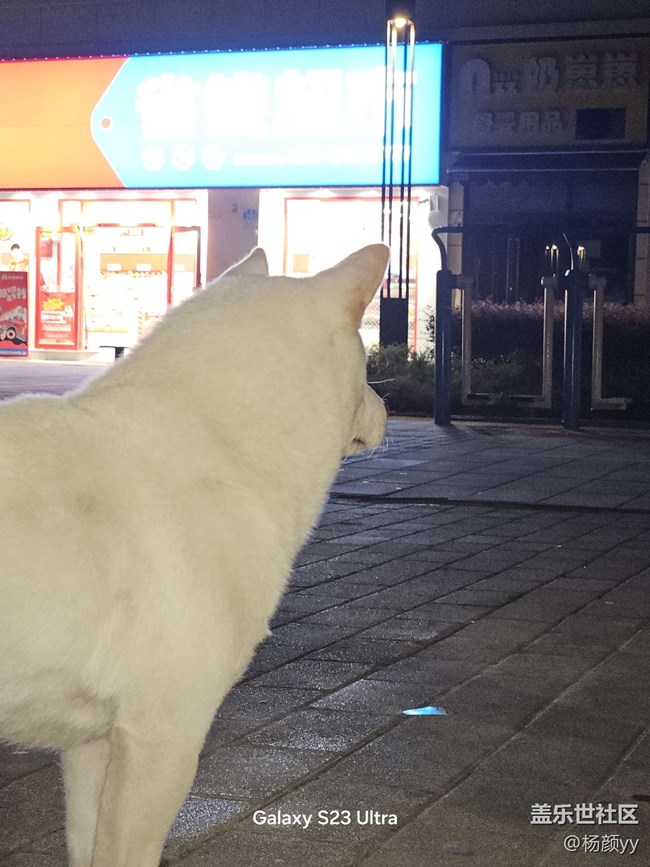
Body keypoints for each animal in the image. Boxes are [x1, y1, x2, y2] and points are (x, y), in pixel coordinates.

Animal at [0, 243, 389, 867]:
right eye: (368, 359)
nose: (388, 409)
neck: (217, 452)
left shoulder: (92, 744)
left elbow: (88, 846)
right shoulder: (163, 737)